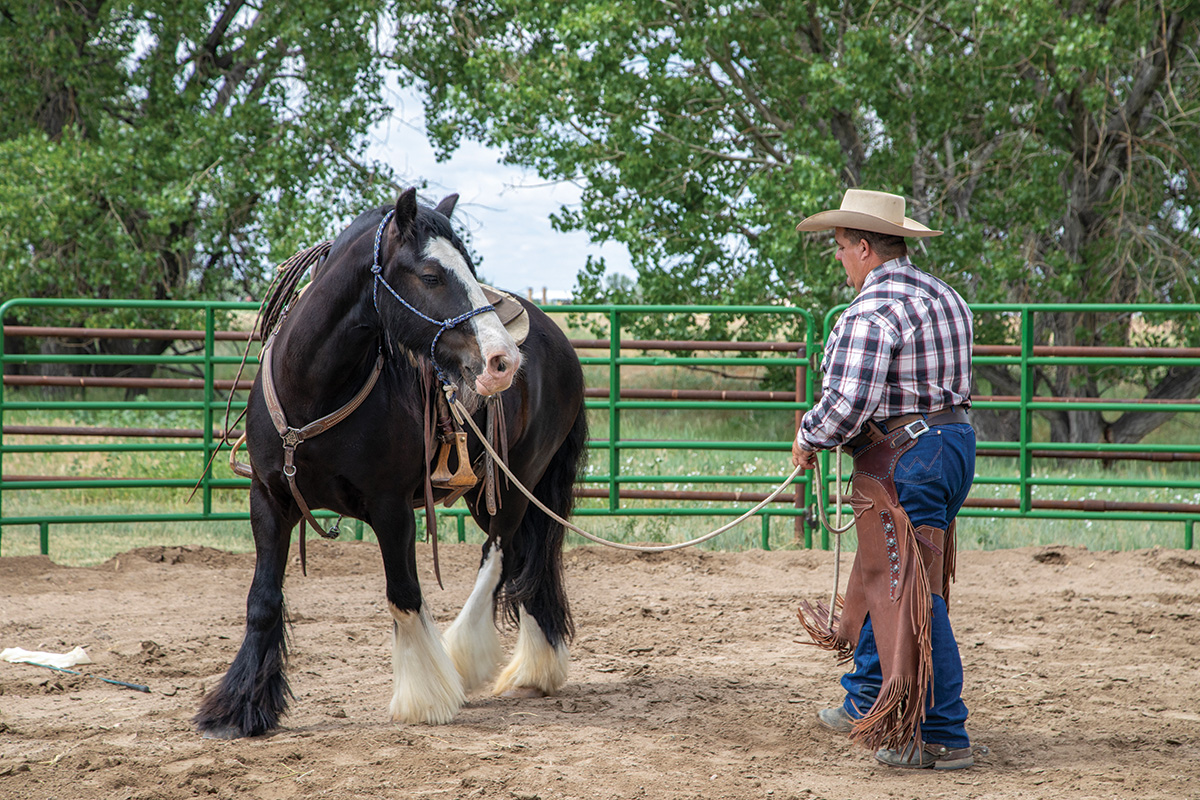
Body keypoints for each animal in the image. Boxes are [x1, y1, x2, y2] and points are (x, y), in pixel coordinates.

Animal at [194, 188, 588, 738]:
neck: (314, 391)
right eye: (431, 275)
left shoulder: (391, 508)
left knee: (504, 558)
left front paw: (426, 697)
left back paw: (472, 659)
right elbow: (262, 600)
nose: (503, 361)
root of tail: (556, 341)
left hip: (513, 489)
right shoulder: (269, 498)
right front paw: (239, 708)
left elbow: (404, 594)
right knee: (524, 562)